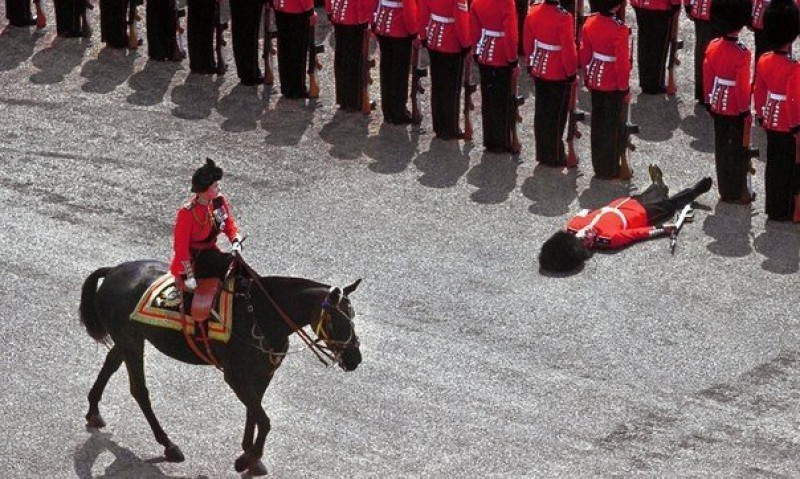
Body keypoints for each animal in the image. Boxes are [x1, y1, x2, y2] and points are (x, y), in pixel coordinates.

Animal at [77, 260, 360, 478]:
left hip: (128, 340)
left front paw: (250, 454)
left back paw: (94, 411)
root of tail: (113, 270)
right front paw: (247, 459)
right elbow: (264, 420)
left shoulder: (262, 376)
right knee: (139, 390)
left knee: (110, 364)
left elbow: (255, 413)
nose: (354, 359)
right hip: (132, 343)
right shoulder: (235, 377)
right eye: (337, 320)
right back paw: (168, 444)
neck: (260, 315)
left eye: (353, 317)